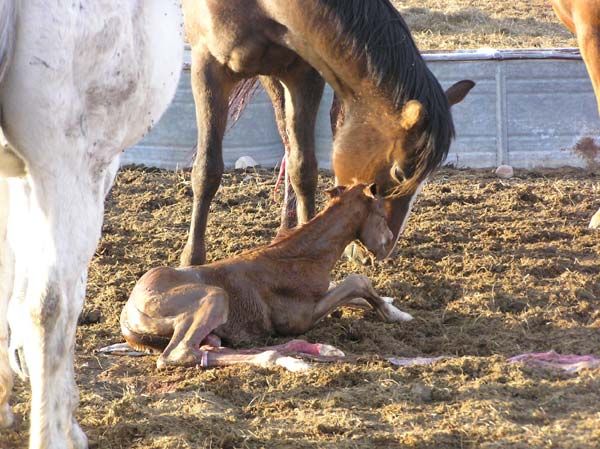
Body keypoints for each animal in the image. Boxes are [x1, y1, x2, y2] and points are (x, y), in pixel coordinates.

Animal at [119, 184, 414, 370]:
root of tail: (128, 316)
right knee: (180, 354)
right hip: (216, 296)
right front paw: (395, 314)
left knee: (211, 350)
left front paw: (392, 305)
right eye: (381, 213)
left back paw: (311, 352)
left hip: (211, 331)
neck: (300, 258)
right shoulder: (300, 318)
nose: (388, 244)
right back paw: (291, 361)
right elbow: (357, 281)